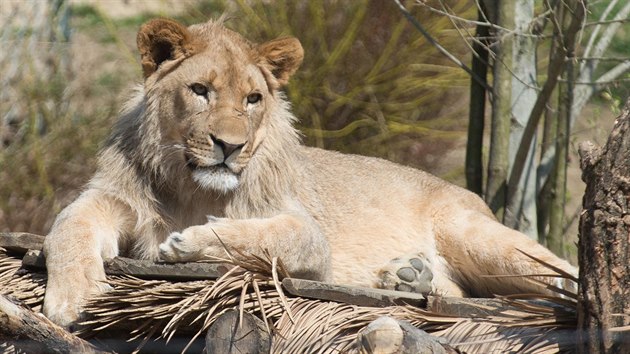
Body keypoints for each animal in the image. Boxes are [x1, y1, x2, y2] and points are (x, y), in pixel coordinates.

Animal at [42, 16, 580, 326]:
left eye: (252, 99)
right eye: (199, 91)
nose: (229, 147)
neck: (191, 185)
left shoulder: (308, 234)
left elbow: (268, 236)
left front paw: (189, 242)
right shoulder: (112, 198)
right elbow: (66, 226)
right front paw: (72, 297)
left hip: (475, 234)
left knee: (560, 271)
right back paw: (407, 275)